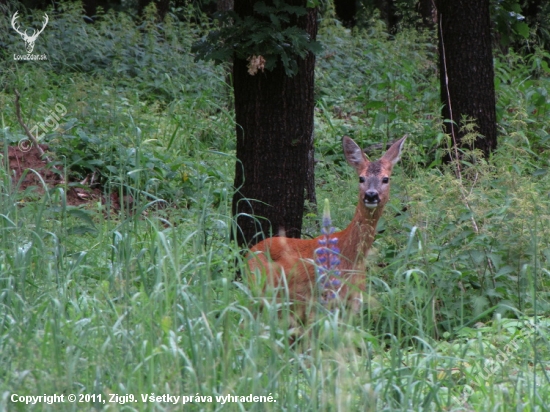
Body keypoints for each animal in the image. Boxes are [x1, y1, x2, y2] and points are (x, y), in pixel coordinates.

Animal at [248, 135, 408, 322]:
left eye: (386, 179)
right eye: (361, 178)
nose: (371, 195)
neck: (350, 258)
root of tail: (248, 253)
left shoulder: (354, 303)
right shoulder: (324, 301)